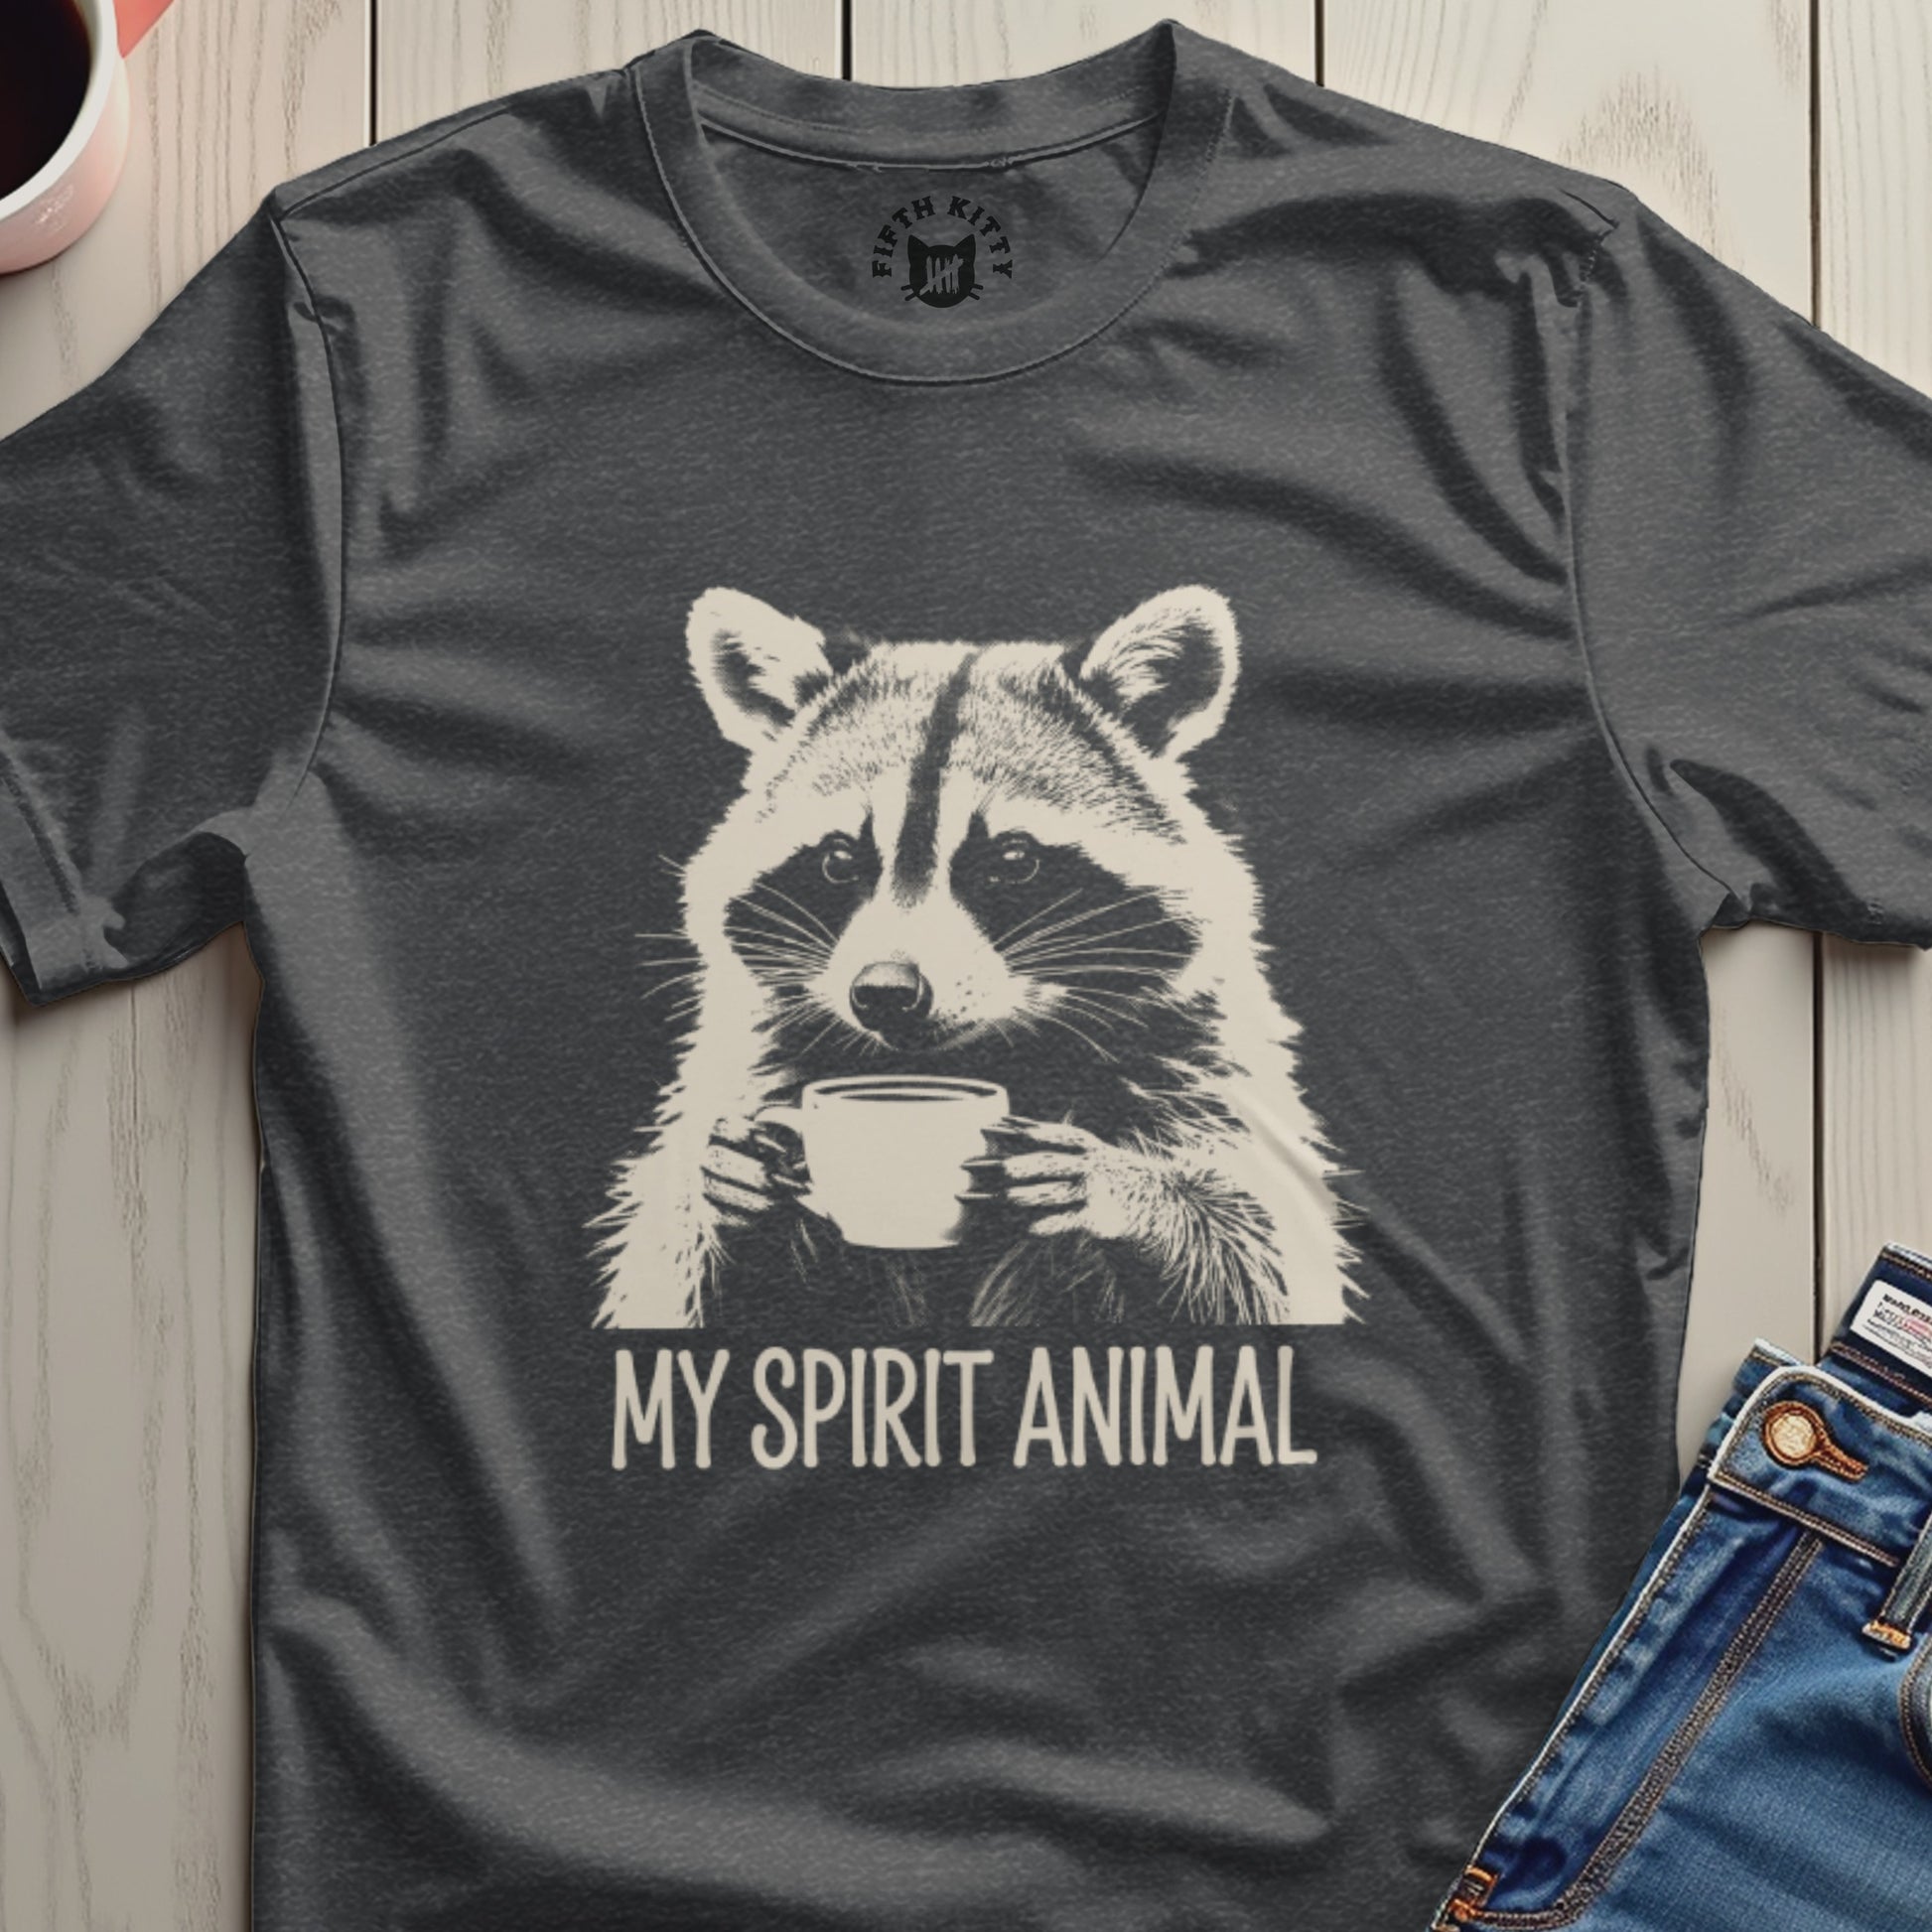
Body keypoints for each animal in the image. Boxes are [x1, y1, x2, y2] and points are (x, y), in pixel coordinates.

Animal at [591, 585, 1358, 1328]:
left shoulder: (1201, 1069)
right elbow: (674, 1280)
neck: (982, 1056)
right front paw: (732, 1190)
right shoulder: (754, 1064)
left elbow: (1263, 1258)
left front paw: (1130, 1194)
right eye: (839, 860)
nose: (886, 990)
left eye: (1012, 861)